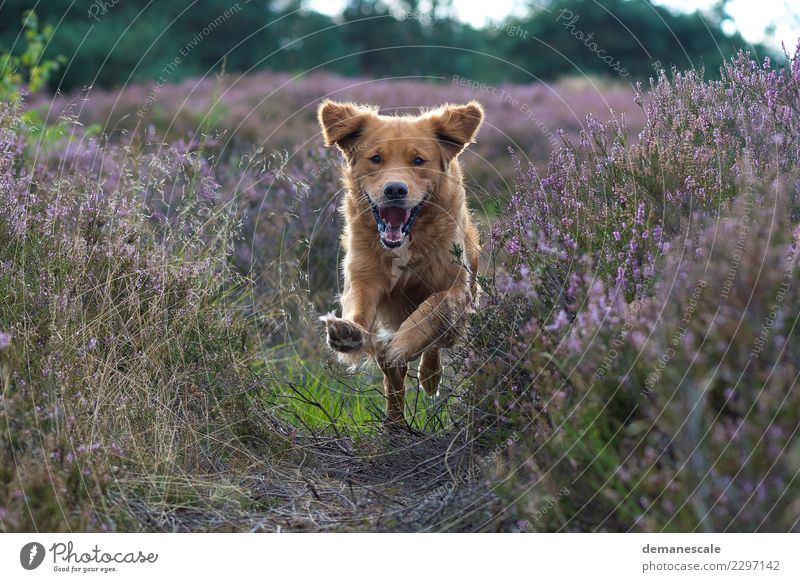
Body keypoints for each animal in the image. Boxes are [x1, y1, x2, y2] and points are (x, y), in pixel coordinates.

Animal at [318, 100, 482, 426]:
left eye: (418, 160)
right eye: (375, 159)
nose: (395, 189)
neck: (407, 243)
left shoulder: (457, 286)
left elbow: (432, 308)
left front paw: (403, 344)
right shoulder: (363, 276)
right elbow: (358, 310)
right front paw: (349, 333)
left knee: (436, 343)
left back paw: (428, 376)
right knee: (393, 378)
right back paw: (393, 422)